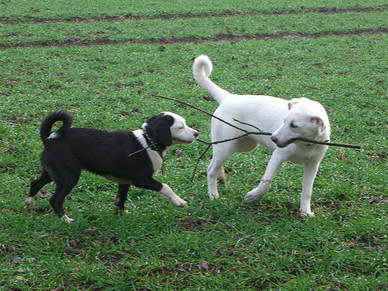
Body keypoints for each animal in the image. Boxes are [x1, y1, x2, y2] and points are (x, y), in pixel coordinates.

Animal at [25, 110, 199, 222]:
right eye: (181, 127)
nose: (197, 133)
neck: (148, 140)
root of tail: (49, 139)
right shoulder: (142, 179)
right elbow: (165, 186)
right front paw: (179, 201)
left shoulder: (125, 182)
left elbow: (120, 200)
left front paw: (121, 217)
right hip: (69, 177)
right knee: (55, 200)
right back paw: (66, 220)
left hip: (53, 172)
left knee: (35, 183)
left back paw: (29, 204)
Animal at [192, 56, 330, 218]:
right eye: (284, 121)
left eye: (294, 125)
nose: (273, 139)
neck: (306, 144)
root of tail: (229, 98)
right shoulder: (278, 156)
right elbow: (266, 182)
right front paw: (253, 196)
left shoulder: (312, 165)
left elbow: (307, 191)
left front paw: (305, 212)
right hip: (226, 147)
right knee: (210, 169)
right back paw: (213, 195)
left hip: (242, 145)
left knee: (216, 162)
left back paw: (220, 177)